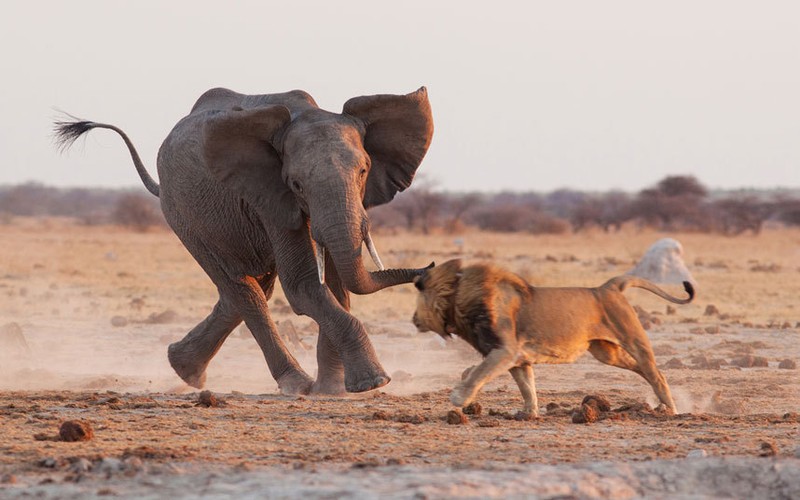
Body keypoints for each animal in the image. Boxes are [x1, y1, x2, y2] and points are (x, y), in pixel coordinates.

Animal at [55, 88, 434, 396]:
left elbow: (337, 286)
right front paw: (373, 383)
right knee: (244, 290)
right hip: (183, 217)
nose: (428, 267)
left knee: (249, 288)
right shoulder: (269, 197)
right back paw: (294, 384)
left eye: (364, 171)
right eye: (296, 184)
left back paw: (184, 369)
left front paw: (334, 391)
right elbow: (304, 287)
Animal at [412, 260, 692, 416]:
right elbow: (527, 387)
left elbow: (479, 373)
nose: (414, 318)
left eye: (419, 300)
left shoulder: (504, 351)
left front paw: (459, 396)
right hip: (606, 352)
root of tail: (608, 286)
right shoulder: (518, 358)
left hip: (634, 341)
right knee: (645, 371)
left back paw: (672, 410)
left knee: (657, 375)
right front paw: (529, 413)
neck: (461, 303)